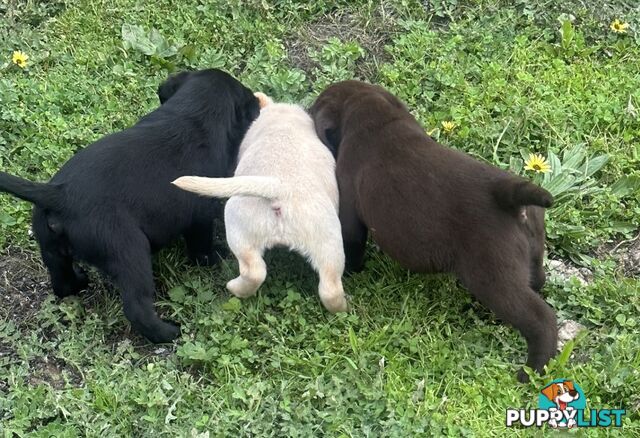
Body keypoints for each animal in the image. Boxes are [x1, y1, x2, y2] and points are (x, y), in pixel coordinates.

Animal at [0, 69, 260, 342]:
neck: (193, 115)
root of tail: (60, 195)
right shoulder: (199, 215)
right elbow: (200, 247)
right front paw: (214, 257)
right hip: (128, 251)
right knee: (137, 308)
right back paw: (169, 332)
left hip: (50, 247)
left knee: (62, 283)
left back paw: (79, 280)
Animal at [172, 92, 348, 314]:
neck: (284, 120)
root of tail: (279, 190)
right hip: (327, 242)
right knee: (329, 287)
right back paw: (342, 308)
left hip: (239, 227)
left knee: (253, 271)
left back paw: (234, 287)